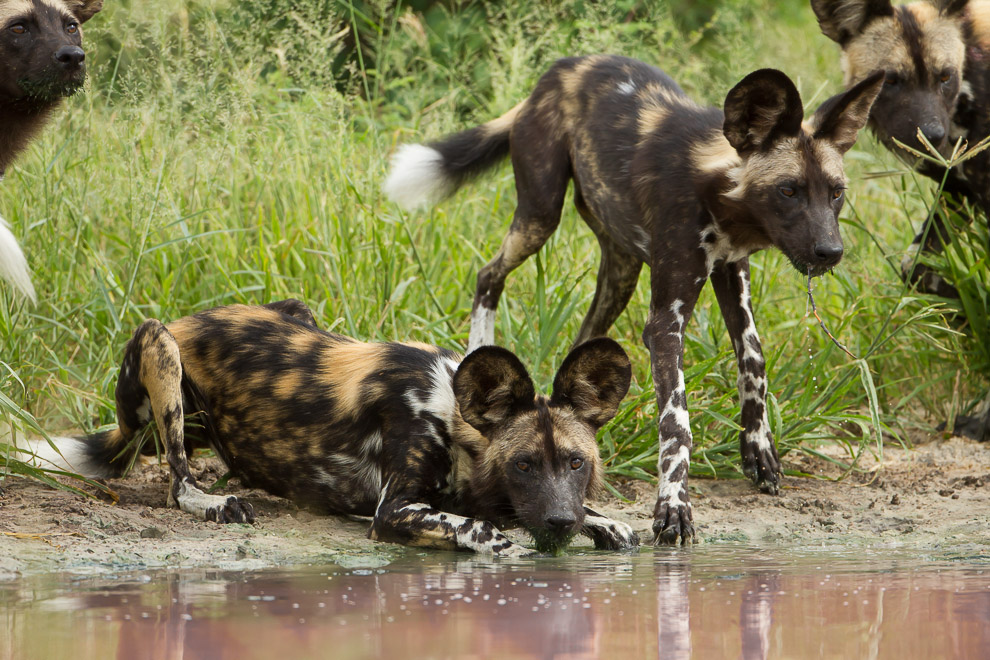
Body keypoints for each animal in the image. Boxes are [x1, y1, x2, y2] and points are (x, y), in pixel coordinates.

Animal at [25, 302, 644, 556]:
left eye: (576, 463)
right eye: (523, 464)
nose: (560, 523)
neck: (451, 415)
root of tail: (188, 318)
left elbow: (596, 517)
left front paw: (605, 522)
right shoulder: (393, 510)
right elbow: (478, 527)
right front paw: (501, 541)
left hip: (296, 310)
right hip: (160, 346)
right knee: (177, 481)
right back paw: (214, 501)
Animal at [386, 54, 884, 544]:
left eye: (835, 193)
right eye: (788, 190)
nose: (830, 252)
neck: (719, 193)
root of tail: (555, 73)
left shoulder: (731, 272)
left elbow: (754, 362)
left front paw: (758, 450)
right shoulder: (666, 322)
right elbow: (677, 425)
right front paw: (673, 508)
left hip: (619, 269)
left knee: (581, 341)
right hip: (539, 215)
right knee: (489, 275)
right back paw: (478, 357)